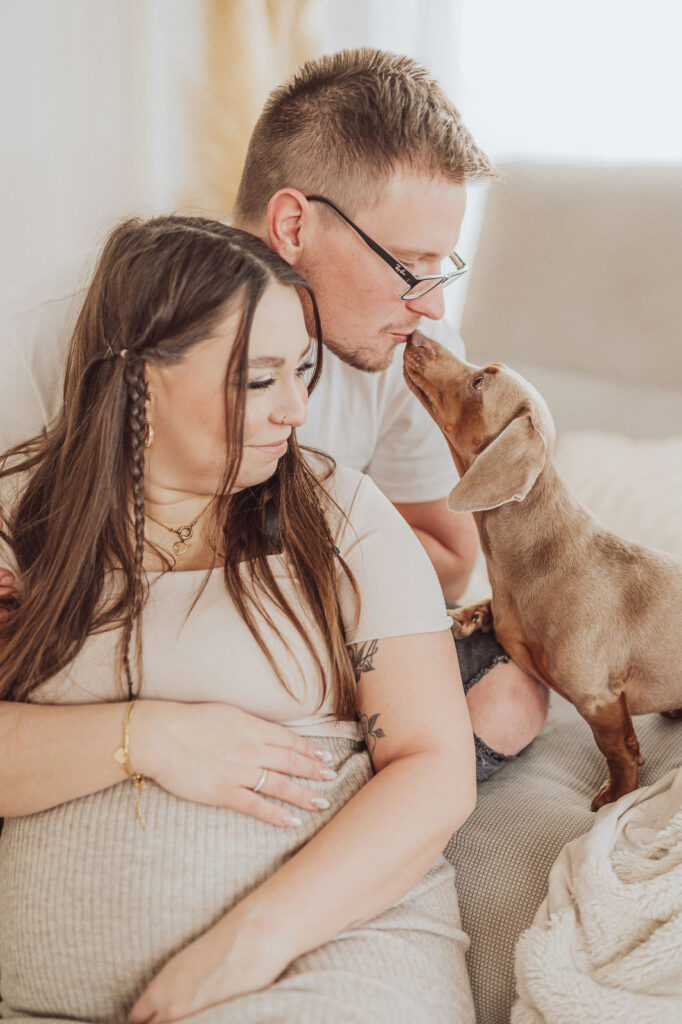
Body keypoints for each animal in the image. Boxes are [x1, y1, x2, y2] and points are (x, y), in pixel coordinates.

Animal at [403, 333, 679, 806]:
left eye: (479, 382)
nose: (416, 334)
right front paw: (466, 616)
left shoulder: (598, 698)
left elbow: (618, 749)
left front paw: (617, 795)